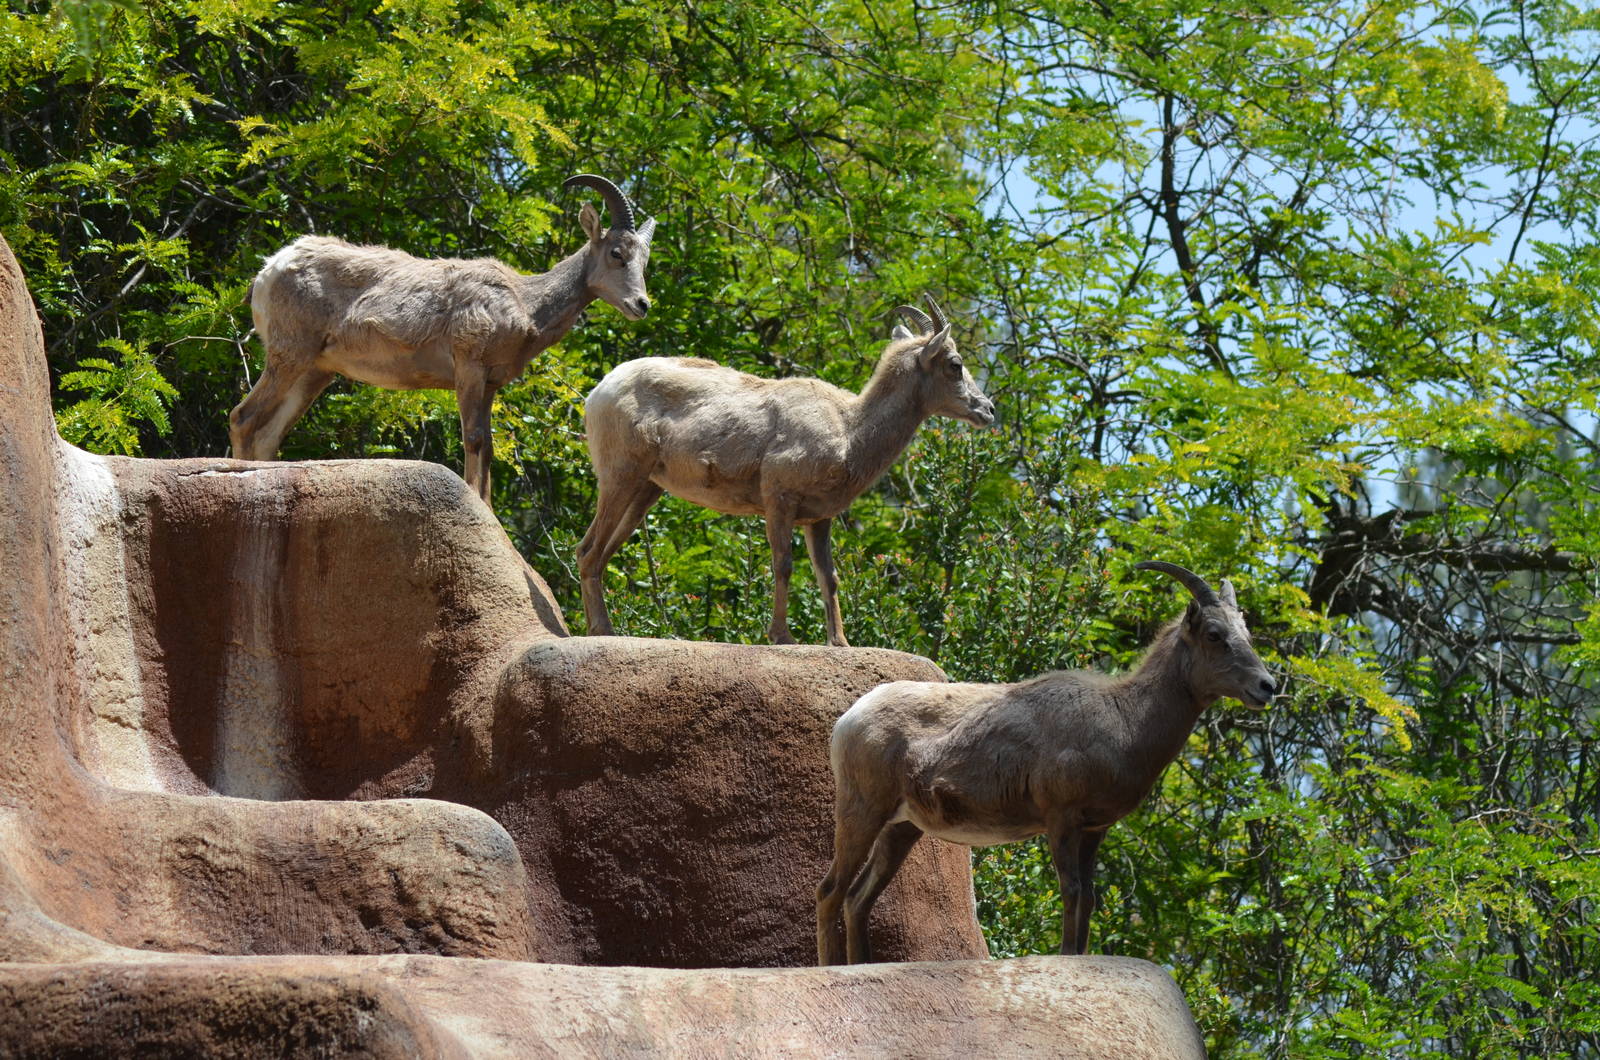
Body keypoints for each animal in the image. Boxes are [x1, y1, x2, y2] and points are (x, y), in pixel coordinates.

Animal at [229, 173, 655, 503]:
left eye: (644, 260)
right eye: (617, 253)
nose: (641, 304)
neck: (525, 303)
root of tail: (268, 270)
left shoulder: (490, 383)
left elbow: (489, 446)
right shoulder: (468, 368)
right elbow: (475, 439)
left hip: (315, 372)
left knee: (268, 432)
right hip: (290, 355)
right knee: (244, 417)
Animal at [577, 295, 996, 647]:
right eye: (955, 364)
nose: (988, 410)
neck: (850, 432)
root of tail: (598, 392)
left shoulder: (819, 517)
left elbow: (829, 578)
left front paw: (840, 643)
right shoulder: (779, 497)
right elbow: (783, 565)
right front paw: (782, 637)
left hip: (646, 489)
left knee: (599, 553)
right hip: (620, 475)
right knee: (587, 549)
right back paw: (604, 630)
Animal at [815, 561, 1279, 964]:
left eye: (1246, 632)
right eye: (1215, 634)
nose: (1267, 686)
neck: (1123, 720)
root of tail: (848, 721)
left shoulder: (1094, 829)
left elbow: (1088, 895)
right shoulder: (1061, 819)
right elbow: (1071, 890)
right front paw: (1067, 956)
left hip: (902, 827)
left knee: (858, 898)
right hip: (864, 810)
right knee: (830, 891)